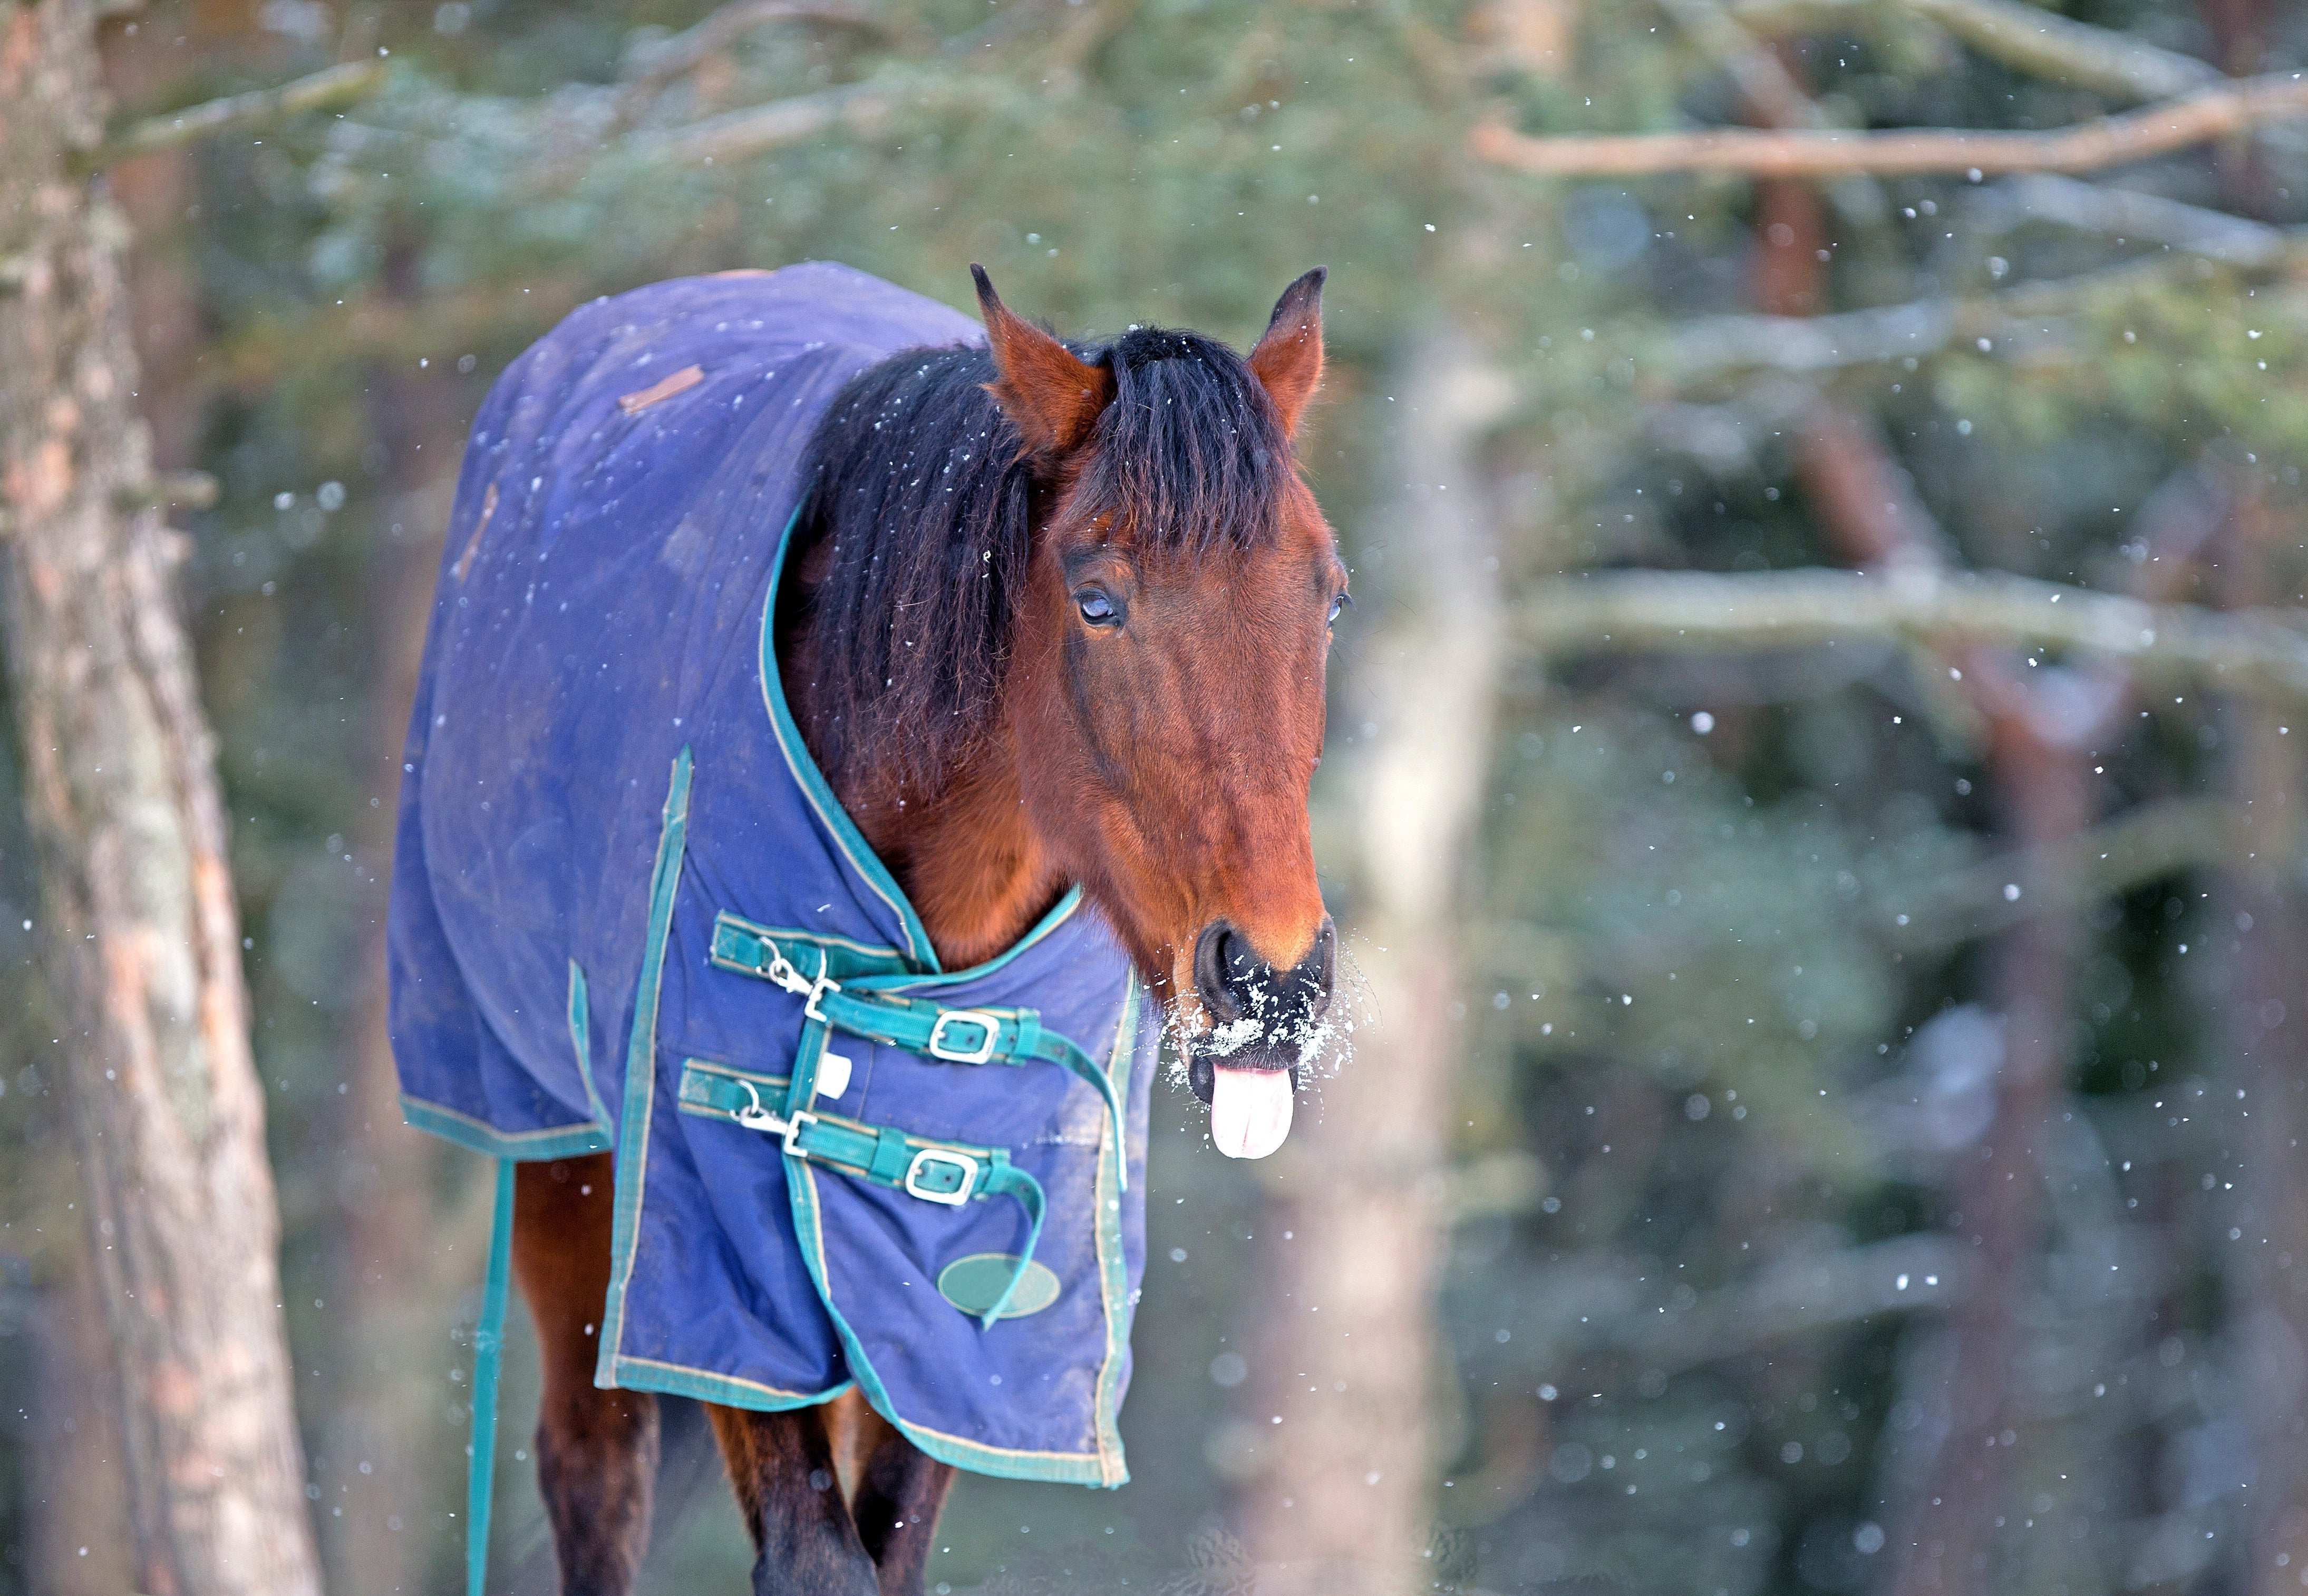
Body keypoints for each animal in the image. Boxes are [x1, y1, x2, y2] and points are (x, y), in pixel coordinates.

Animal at [390, 261, 1343, 1595]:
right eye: (1098, 601)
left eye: (1327, 596)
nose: (1269, 977)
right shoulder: (720, 1244)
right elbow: (814, 1557)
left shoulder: (956, 1290)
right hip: (563, 1155)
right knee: (593, 1466)